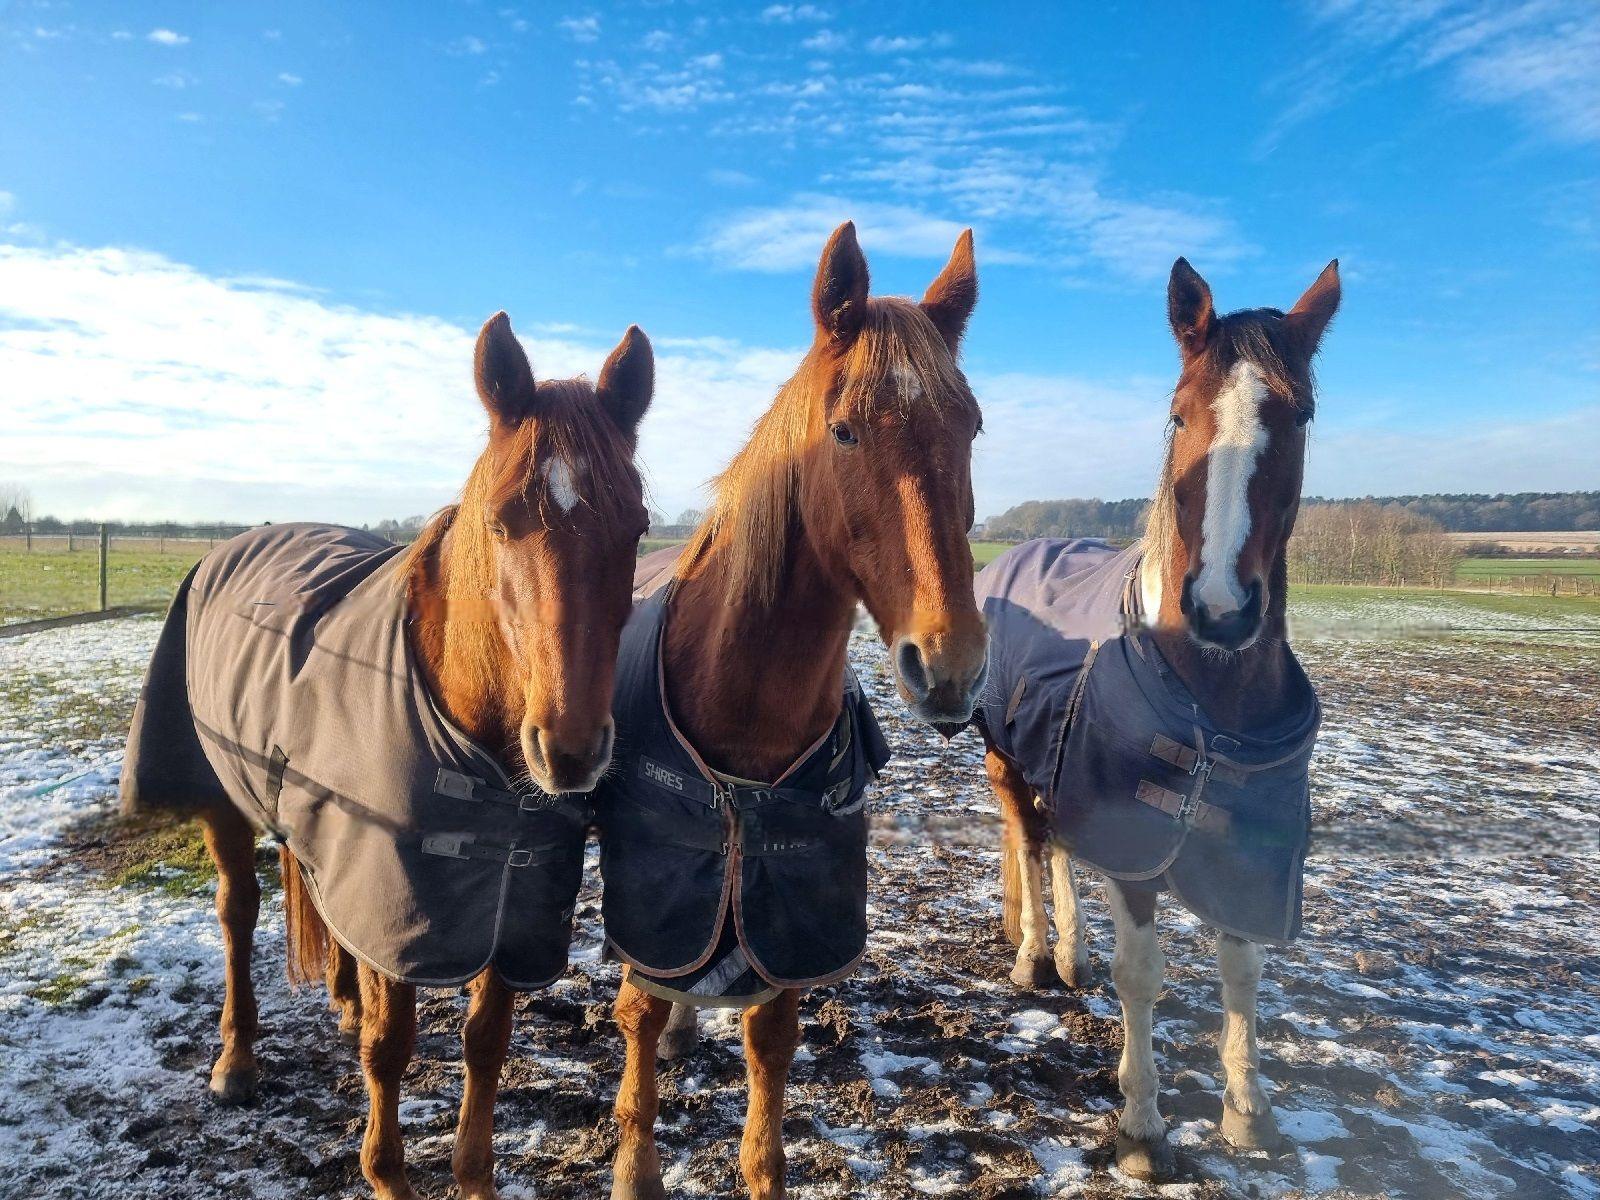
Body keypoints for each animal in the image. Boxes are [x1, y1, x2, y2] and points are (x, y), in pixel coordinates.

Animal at [120, 312, 656, 1200]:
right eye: (501, 520)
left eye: (639, 528)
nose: (571, 750)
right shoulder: (397, 901)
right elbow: (390, 1048)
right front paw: (387, 1172)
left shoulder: (508, 908)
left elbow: (485, 1042)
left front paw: (473, 1178)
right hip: (223, 801)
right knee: (237, 914)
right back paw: (236, 1061)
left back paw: (337, 1000)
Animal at [601, 219, 985, 1200]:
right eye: (843, 431)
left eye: (970, 426)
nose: (952, 665)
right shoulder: (652, 887)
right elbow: (636, 1013)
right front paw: (635, 1170)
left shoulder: (793, 909)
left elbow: (769, 1042)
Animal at [972, 256, 1337, 1184]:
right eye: (1178, 412)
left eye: (1300, 413)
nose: (1220, 608)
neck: (1212, 697)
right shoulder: (1137, 846)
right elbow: (1143, 973)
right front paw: (1141, 1125)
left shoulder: (1249, 850)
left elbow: (1241, 968)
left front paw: (1249, 1109)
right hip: (1007, 762)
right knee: (1029, 843)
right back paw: (1034, 953)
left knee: (1057, 847)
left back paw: (1067, 950)